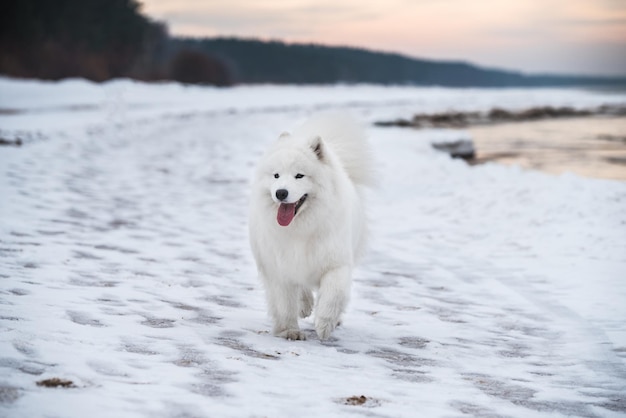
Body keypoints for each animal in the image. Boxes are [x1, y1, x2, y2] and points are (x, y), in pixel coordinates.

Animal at [247, 113, 370, 340]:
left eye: (299, 175)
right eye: (276, 175)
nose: (281, 193)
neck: (300, 229)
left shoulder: (336, 263)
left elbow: (333, 293)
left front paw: (325, 324)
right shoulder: (279, 267)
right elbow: (284, 304)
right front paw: (289, 331)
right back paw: (304, 306)